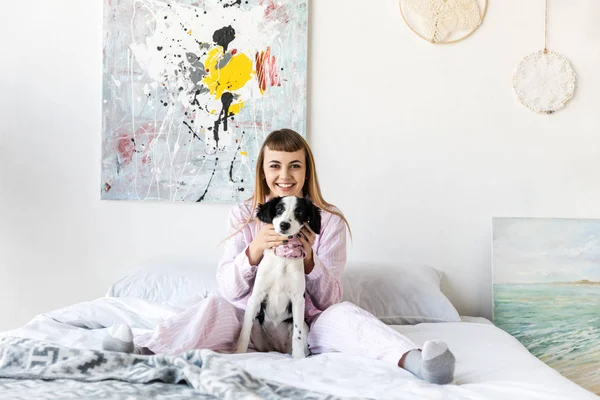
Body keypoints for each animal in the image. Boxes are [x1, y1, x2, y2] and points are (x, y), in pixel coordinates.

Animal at [234, 197, 322, 360]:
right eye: (279, 209)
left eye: (299, 212)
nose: (284, 224)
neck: (284, 256)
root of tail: (276, 349)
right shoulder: (256, 296)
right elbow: (244, 330)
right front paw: (238, 353)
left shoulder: (298, 299)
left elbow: (297, 334)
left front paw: (299, 358)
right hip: (258, 325)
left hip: (304, 326)